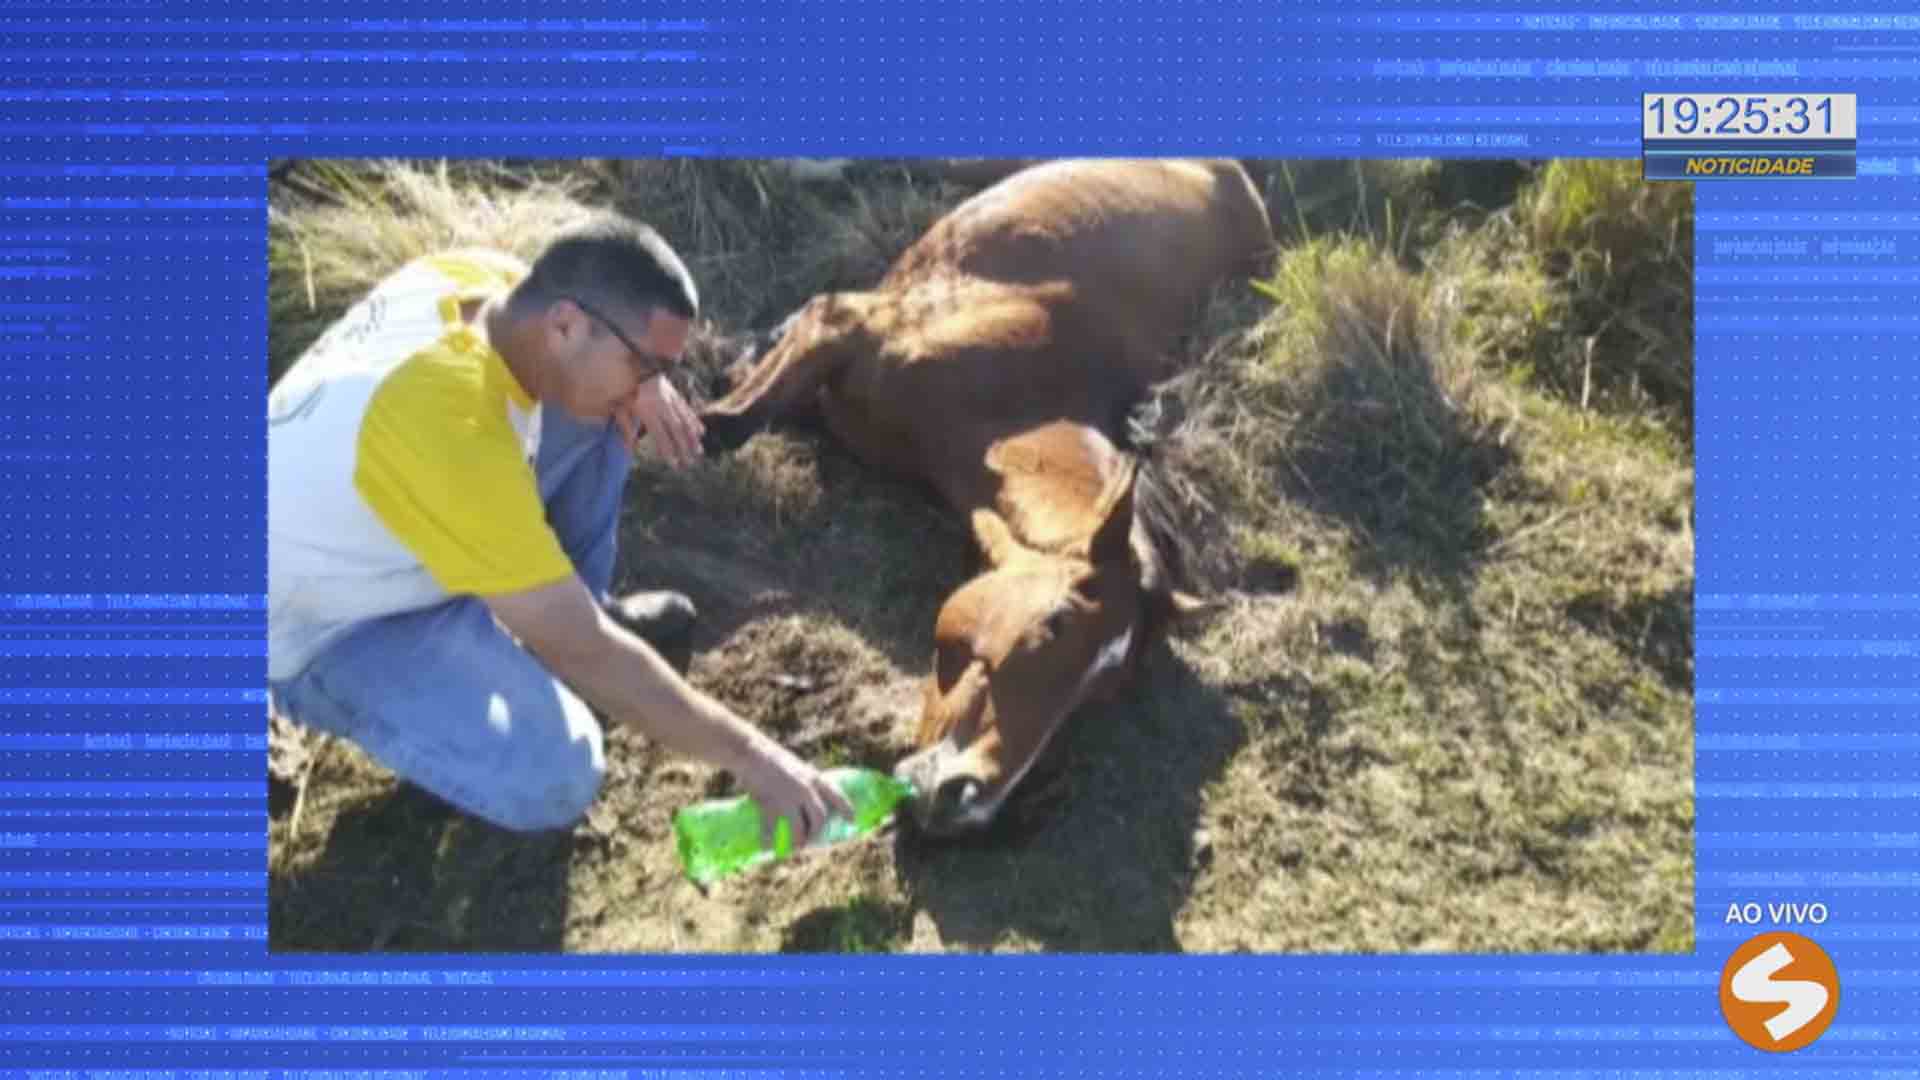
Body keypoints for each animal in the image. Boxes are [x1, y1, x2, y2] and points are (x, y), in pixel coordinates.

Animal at [695, 157, 1274, 834]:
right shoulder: (844, 322)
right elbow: (726, 423)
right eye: (1054, 624)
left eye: (1100, 694)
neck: (1009, 402)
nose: (968, 801)